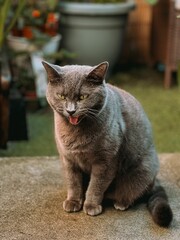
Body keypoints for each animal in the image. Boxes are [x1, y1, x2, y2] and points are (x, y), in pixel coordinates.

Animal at [42, 60, 173, 227]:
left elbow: (96, 186)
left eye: (83, 97)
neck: (76, 133)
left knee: (134, 191)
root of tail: (154, 181)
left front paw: (91, 206)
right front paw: (73, 202)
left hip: (143, 170)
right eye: (61, 96)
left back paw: (121, 203)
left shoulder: (105, 162)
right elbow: (73, 182)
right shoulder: (68, 159)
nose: (71, 111)